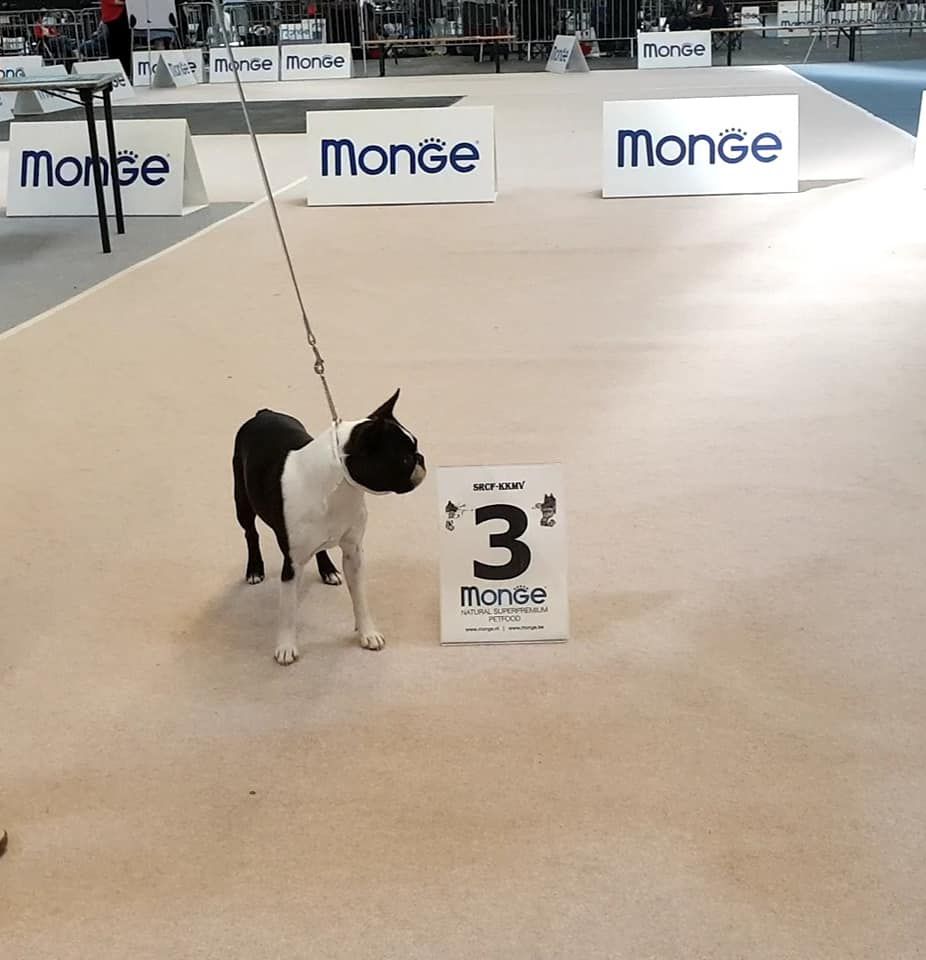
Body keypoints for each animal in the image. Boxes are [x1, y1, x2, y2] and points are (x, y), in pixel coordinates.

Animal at [232, 389, 425, 665]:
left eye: (416, 448)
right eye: (405, 459)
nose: (421, 458)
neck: (342, 485)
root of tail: (264, 413)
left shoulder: (354, 553)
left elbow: (360, 598)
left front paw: (367, 633)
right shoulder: (292, 564)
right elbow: (288, 610)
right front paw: (286, 647)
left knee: (320, 548)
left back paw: (328, 570)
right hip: (242, 501)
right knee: (251, 533)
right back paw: (255, 569)